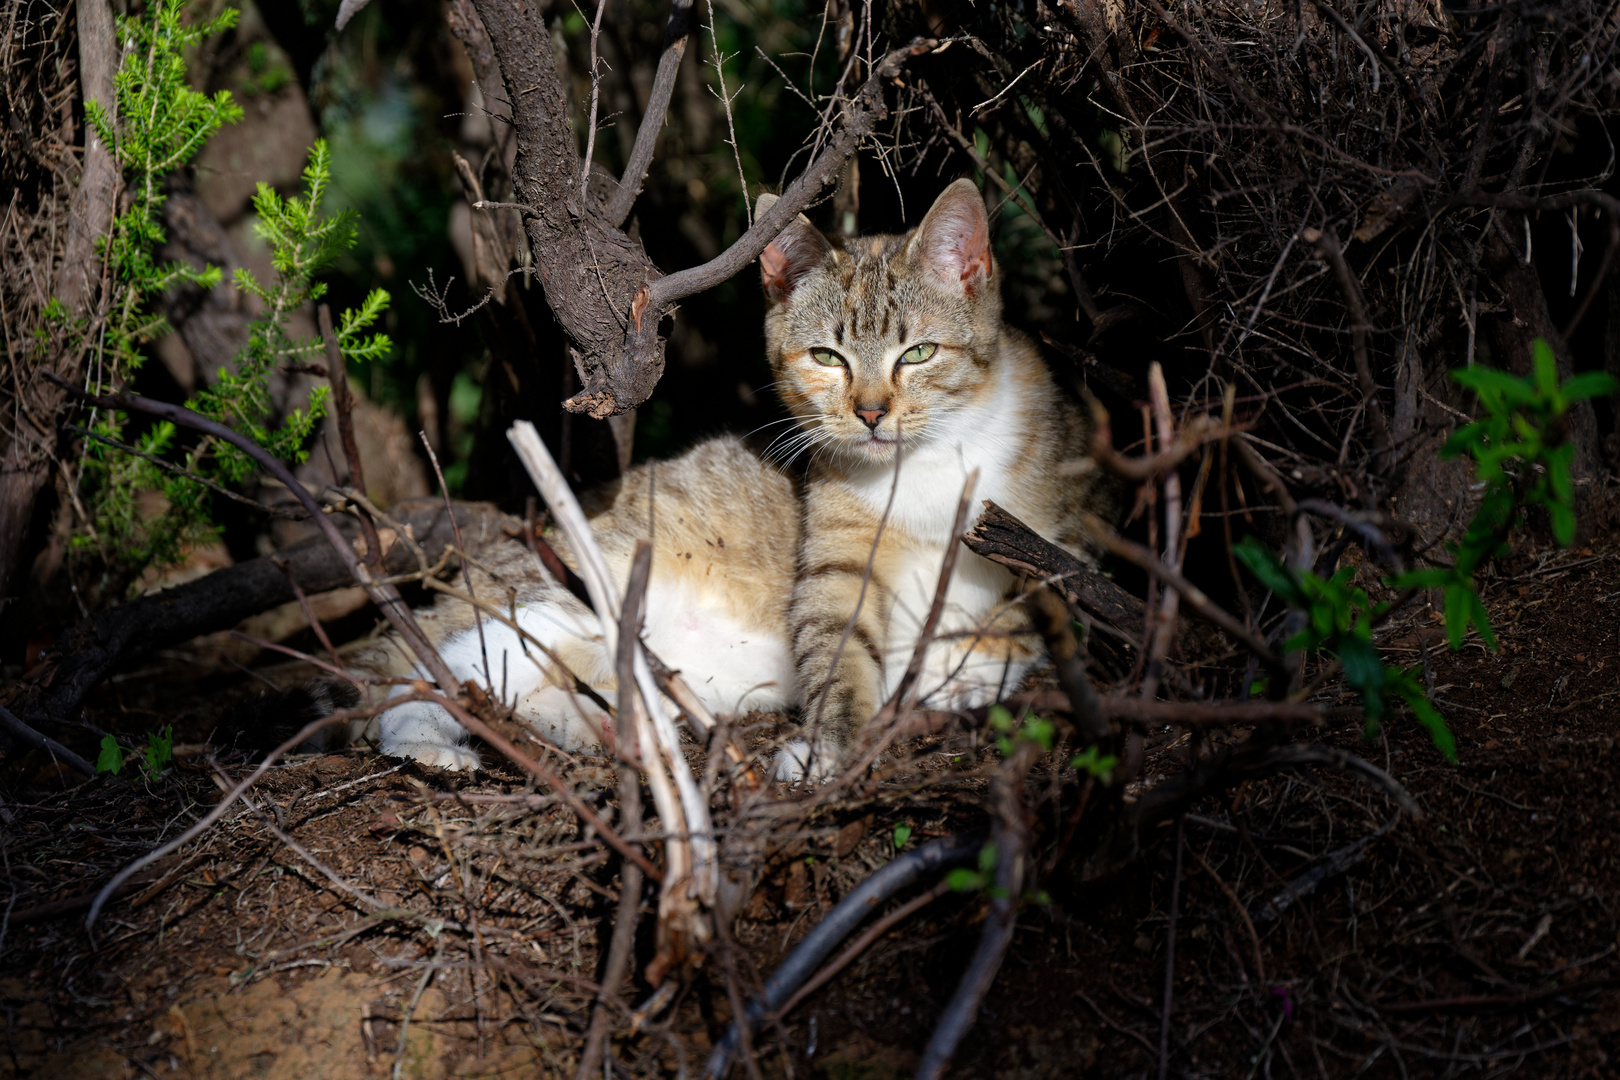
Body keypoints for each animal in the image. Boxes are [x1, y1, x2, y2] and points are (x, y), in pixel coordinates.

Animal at [319, 181, 1101, 780]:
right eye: (828, 357)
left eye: (919, 353)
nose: (873, 412)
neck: (927, 464)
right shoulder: (838, 564)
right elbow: (841, 645)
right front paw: (829, 745)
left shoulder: (1061, 533)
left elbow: (1034, 619)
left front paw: (965, 669)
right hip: (559, 591)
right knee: (420, 674)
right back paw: (432, 746)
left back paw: (613, 731)